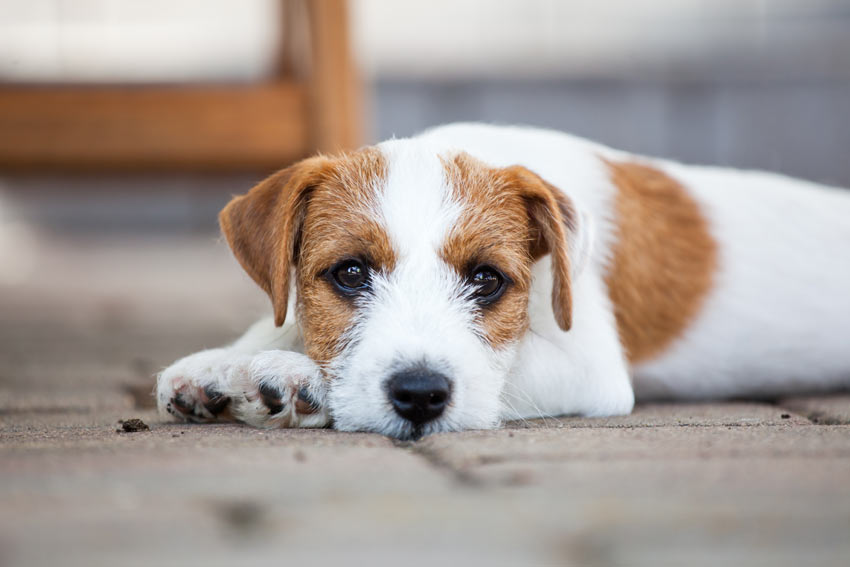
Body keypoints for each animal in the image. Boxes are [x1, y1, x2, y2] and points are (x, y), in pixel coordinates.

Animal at [156, 124, 848, 442]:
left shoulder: (589, 363)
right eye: (349, 272)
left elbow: (501, 369)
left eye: (487, 280)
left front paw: (293, 378)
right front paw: (221, 366)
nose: (419, 395)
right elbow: (284, 321)